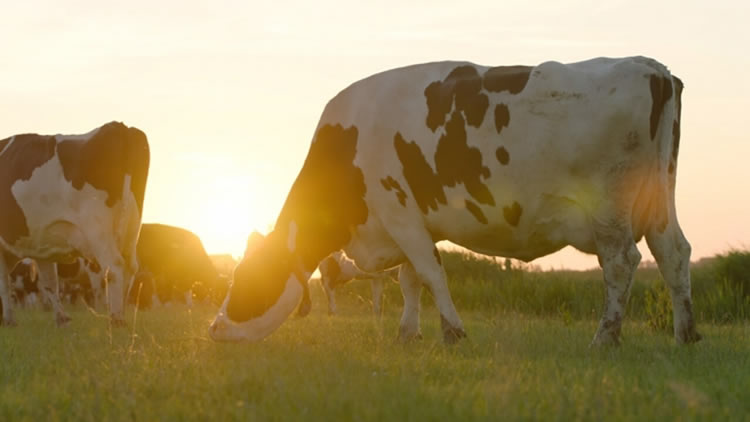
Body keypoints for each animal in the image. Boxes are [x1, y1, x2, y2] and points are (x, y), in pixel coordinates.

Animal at [0, 122, 150, 326]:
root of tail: (120, 127)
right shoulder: (42, 242)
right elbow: (50, 282)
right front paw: (62, 319)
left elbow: (4, 284)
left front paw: (9, 320)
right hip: (132, 227)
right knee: (130, 267)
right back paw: (123, 315)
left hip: (97, 227)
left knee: (114, 266)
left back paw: (116, 319)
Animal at [210, 56, 700, 346]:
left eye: (247, 277)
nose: (214, 327)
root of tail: (651, 67)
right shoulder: (410, 222)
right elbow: (410, 278)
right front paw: (408, 333)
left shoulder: (398, 211)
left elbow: (430, 273)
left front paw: (452, 331)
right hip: (660, 200)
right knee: (674, 254)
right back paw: (686, 335)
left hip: (609, 210)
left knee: (621, 262)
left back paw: (606, 337)